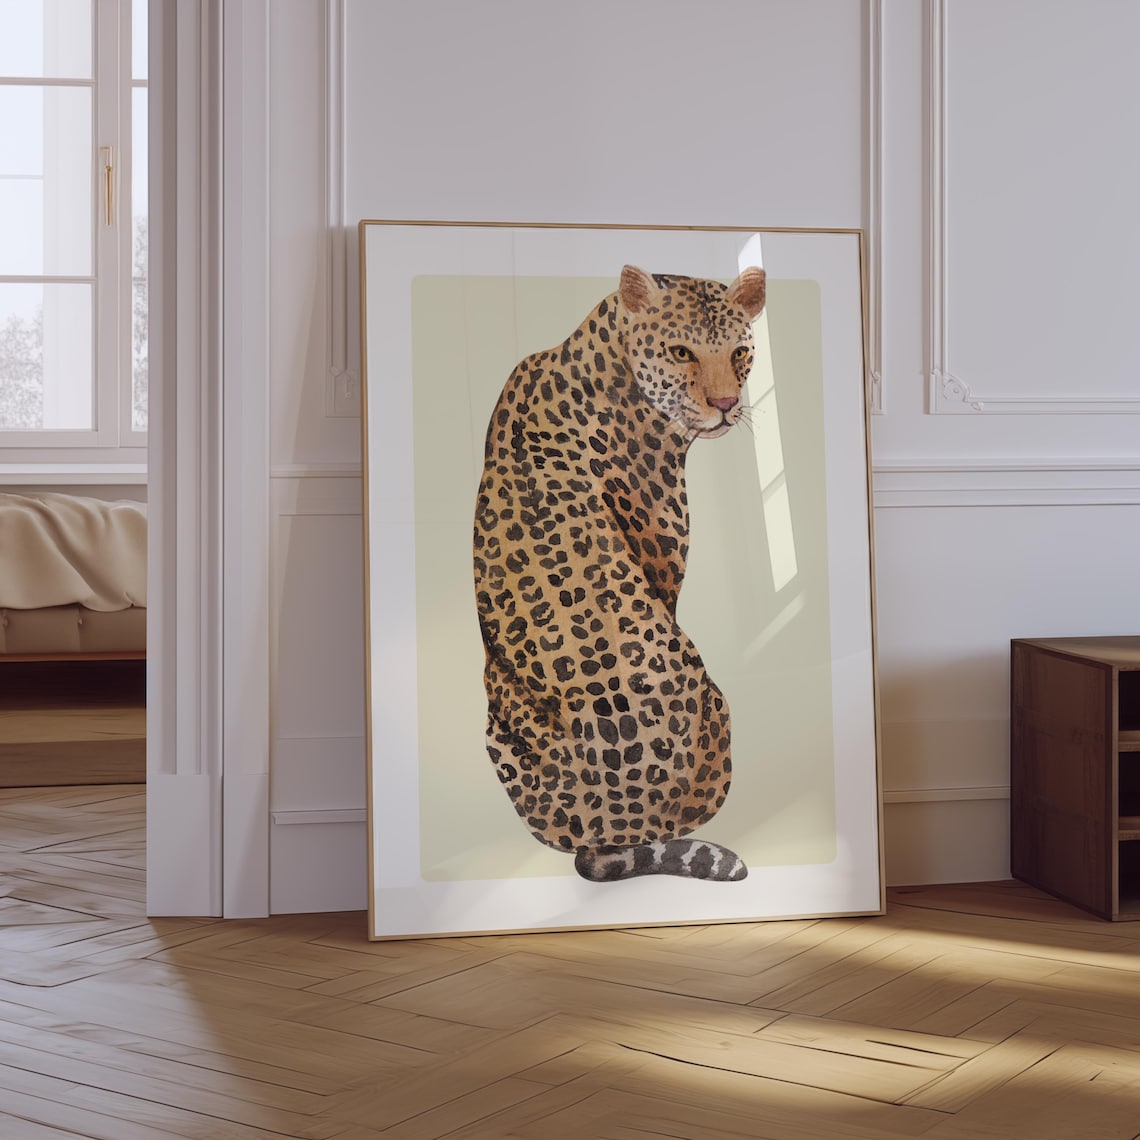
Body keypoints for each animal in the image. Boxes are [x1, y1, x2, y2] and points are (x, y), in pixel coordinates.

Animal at [473, 263, 766, 883]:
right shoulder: (662, 558)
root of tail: (600, 830)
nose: (727, 403)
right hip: (716, 703)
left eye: (740, 352)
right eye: (680, 351)